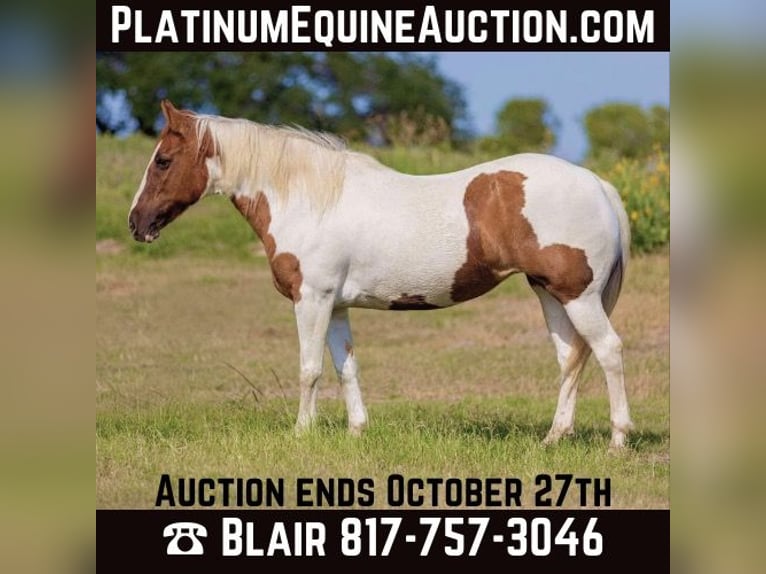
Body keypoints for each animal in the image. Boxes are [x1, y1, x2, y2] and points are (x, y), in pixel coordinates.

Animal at [129, 100, 633, 449]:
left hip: (579, 297)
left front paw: (301, 433)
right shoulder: (334, 306)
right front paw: (356, 431)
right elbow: (345, 366)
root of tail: (597, 183)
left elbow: (309, 369)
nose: (136, 223)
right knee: (570, 358)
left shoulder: (311, 299)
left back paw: (618, 439)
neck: (311, 199)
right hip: (551, 294)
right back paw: (554, 437)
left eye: (163, 160)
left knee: (608, 351)